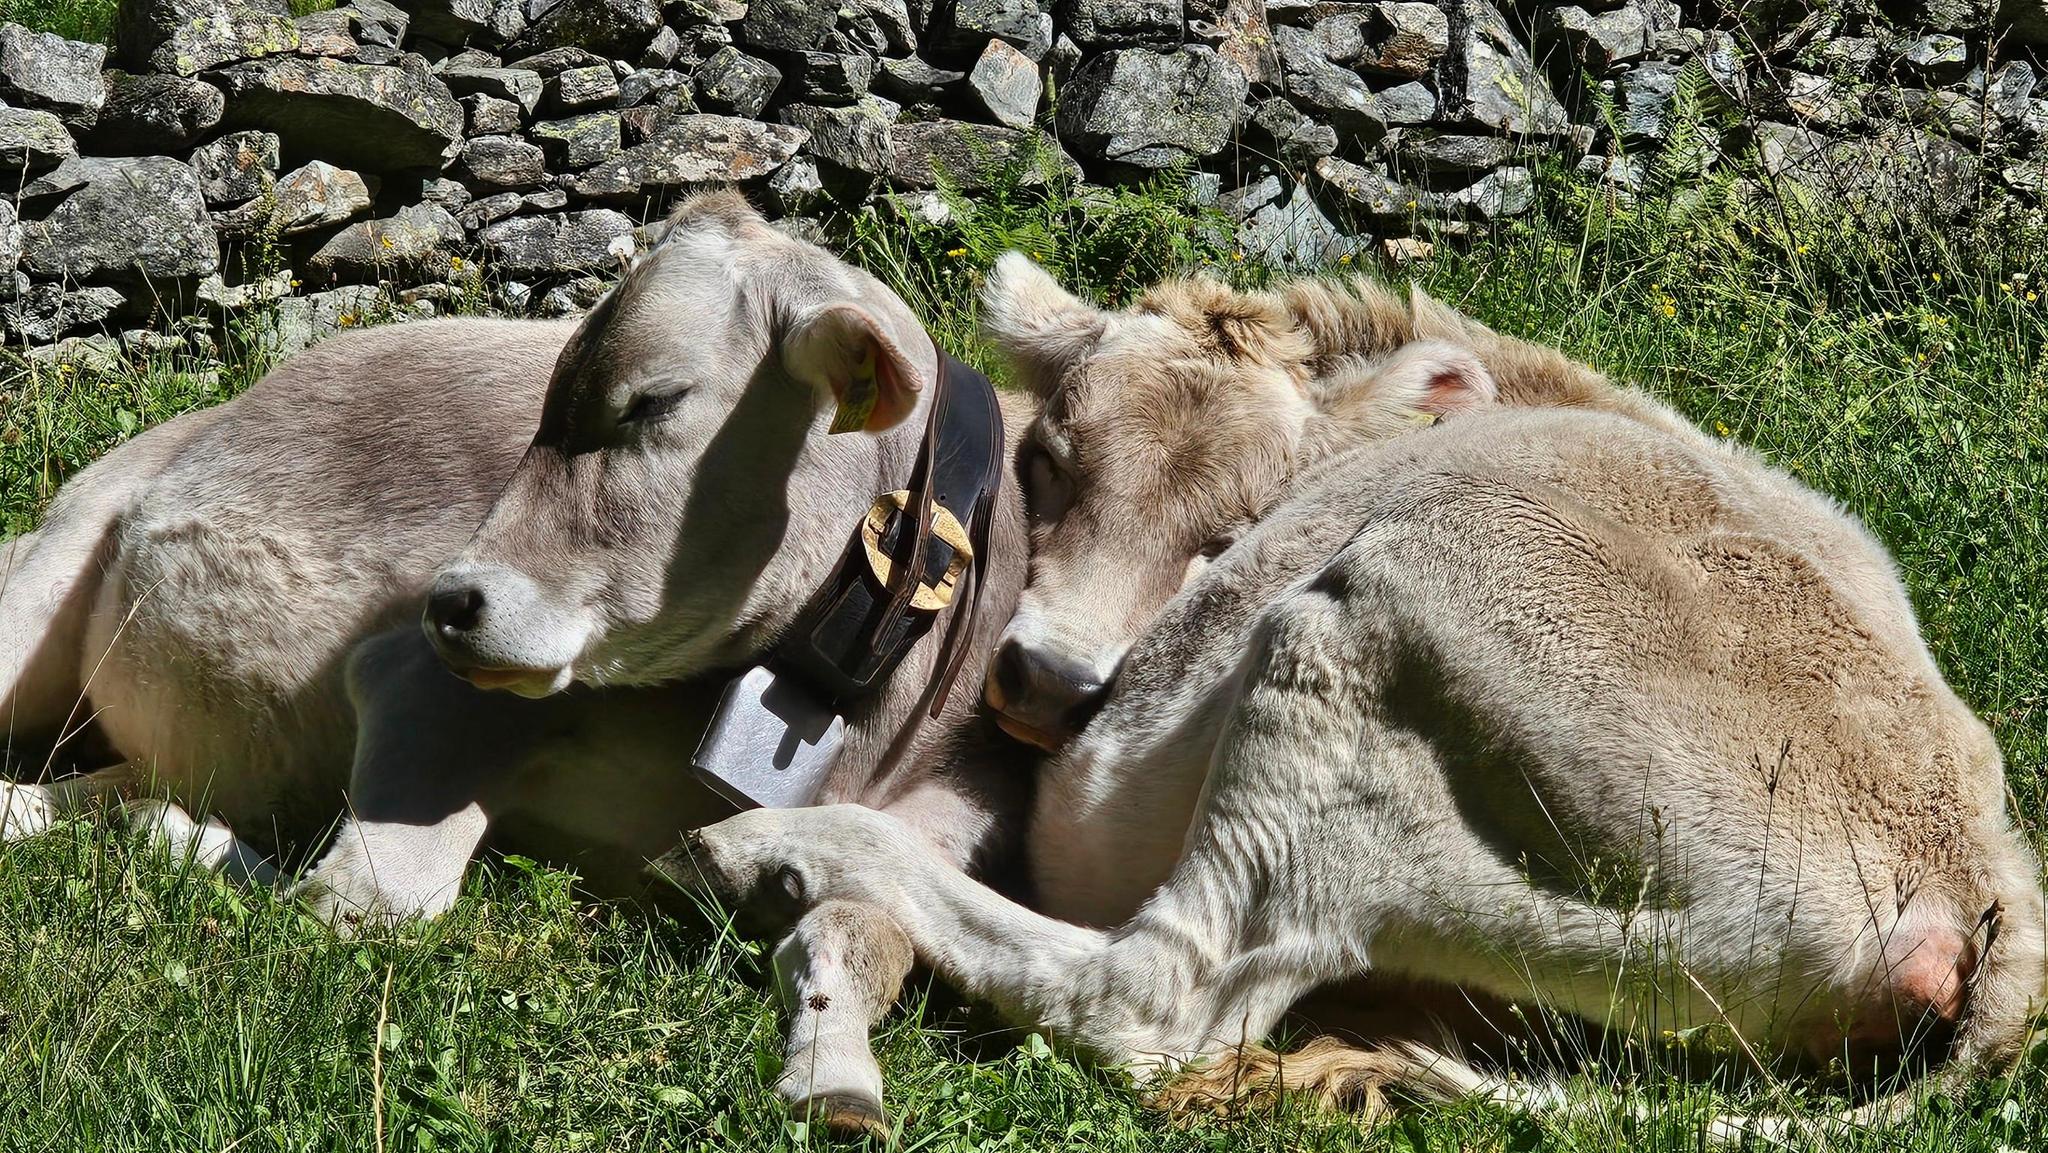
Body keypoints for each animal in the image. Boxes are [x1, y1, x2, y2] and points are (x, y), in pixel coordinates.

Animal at [0, 194, 1035, 1136]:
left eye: (654, 400)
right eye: (548, 396)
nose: (448, 602)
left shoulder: (938, 815)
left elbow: (876, 928)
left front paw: (836, 1078)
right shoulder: (419, 688)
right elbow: (358, 904)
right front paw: (183, 842)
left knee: (72, 787)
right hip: (47, 570)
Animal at [675, 255, 2048, 1138]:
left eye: (1230, 530)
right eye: (1054, 460)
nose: (1047, 680)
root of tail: (1976, 871)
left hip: (1347, 660)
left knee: (1154, 995)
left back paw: (778, 843)